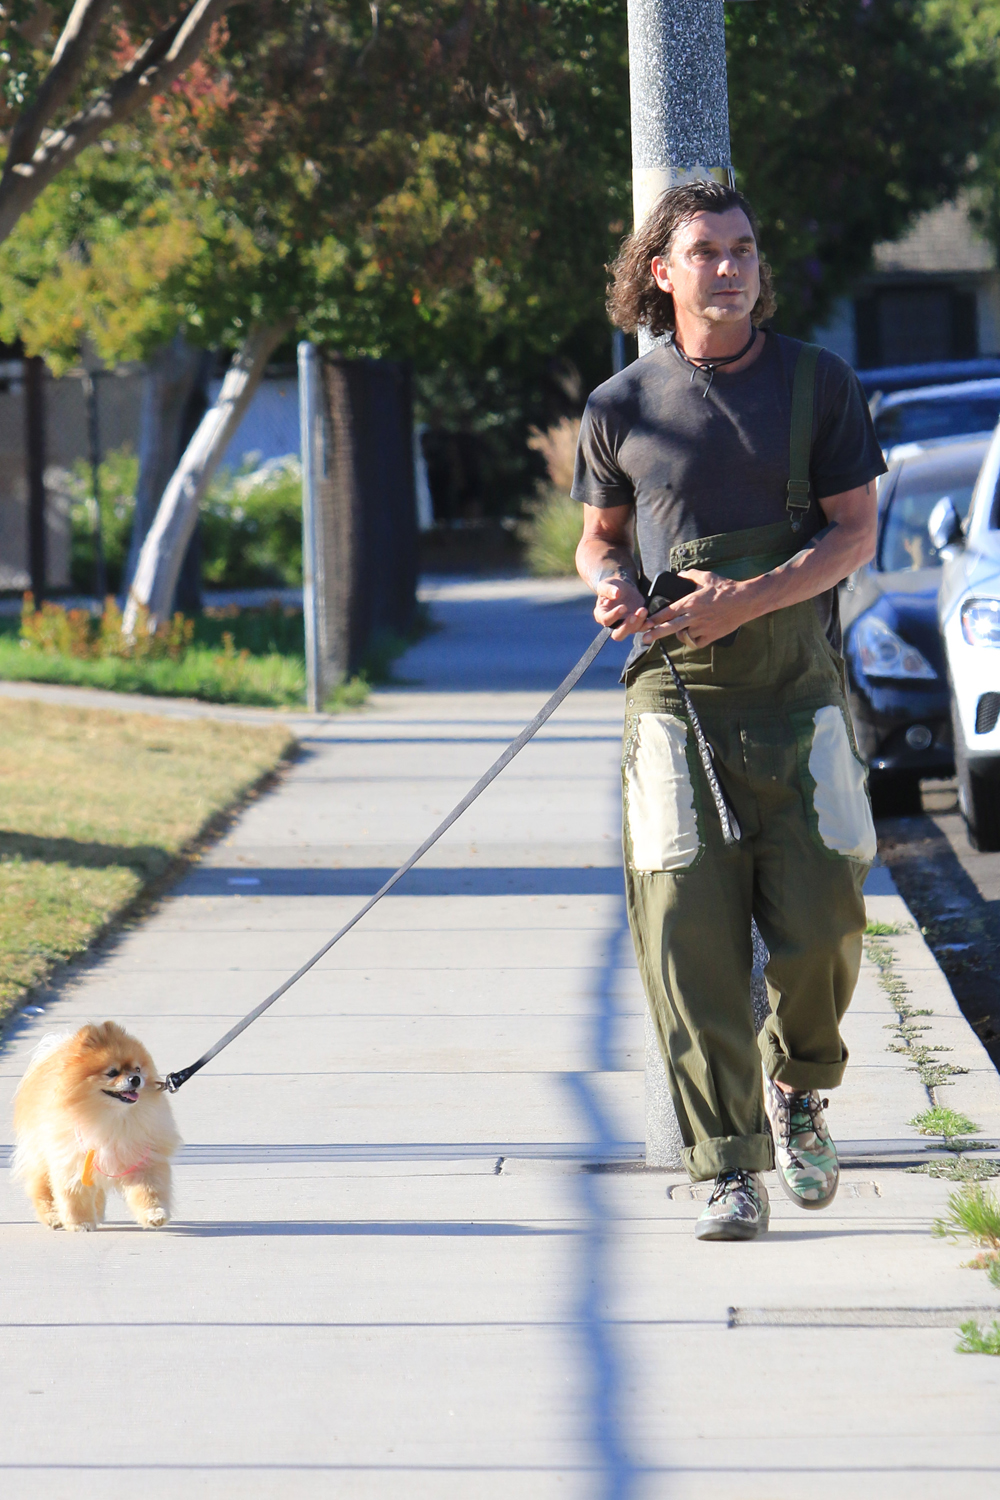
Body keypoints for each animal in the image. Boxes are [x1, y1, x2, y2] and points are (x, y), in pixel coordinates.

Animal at [14, 1020, 182, 1230]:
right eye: (112, 1072)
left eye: (137, 1069)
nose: (136, 1079)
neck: (111, 1117)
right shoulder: (71, 1160)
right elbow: (74, 1196)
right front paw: (80, 1223)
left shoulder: (141, 1156)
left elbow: (150, 1189)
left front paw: (154, 1214)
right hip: (42, 1153)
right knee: (42, 1187)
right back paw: (53, 1217)